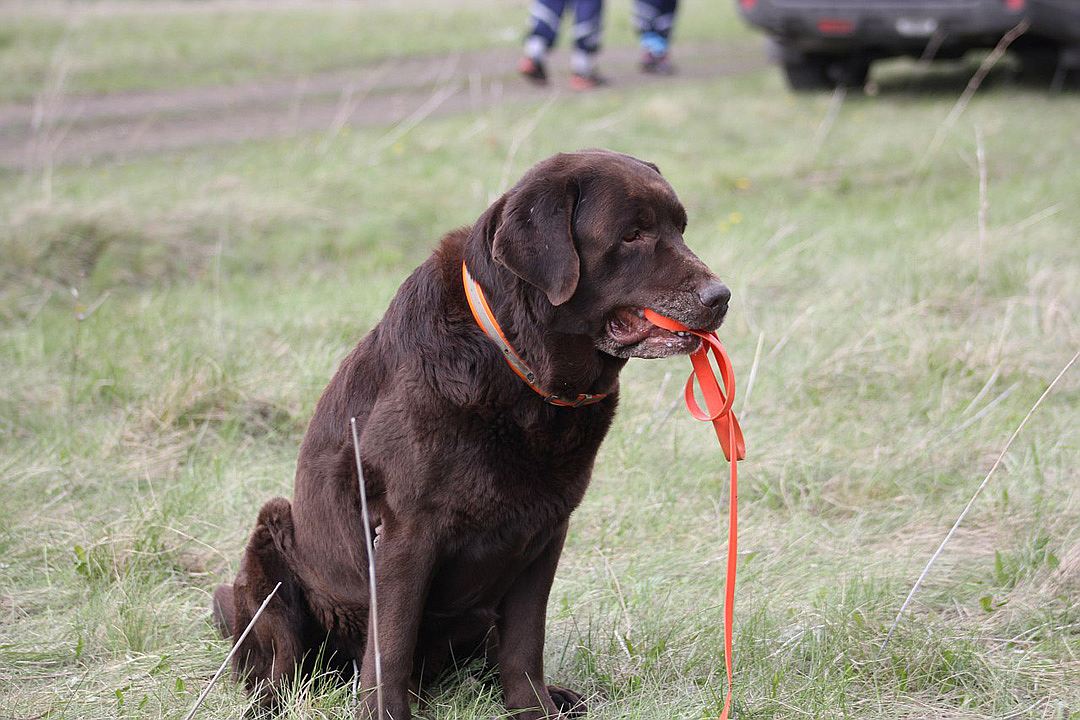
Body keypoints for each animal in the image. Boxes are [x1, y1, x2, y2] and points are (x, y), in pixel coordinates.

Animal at [210, 148, 734, 716]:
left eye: (680, 228)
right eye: (633, 234)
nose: (721, 296)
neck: (518, 363)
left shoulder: (546, 530)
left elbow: (525, 643)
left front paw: (534, 708)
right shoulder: (407, 532)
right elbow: (391, 647)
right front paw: (385, 713)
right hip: (275, 537)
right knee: (279, 666)